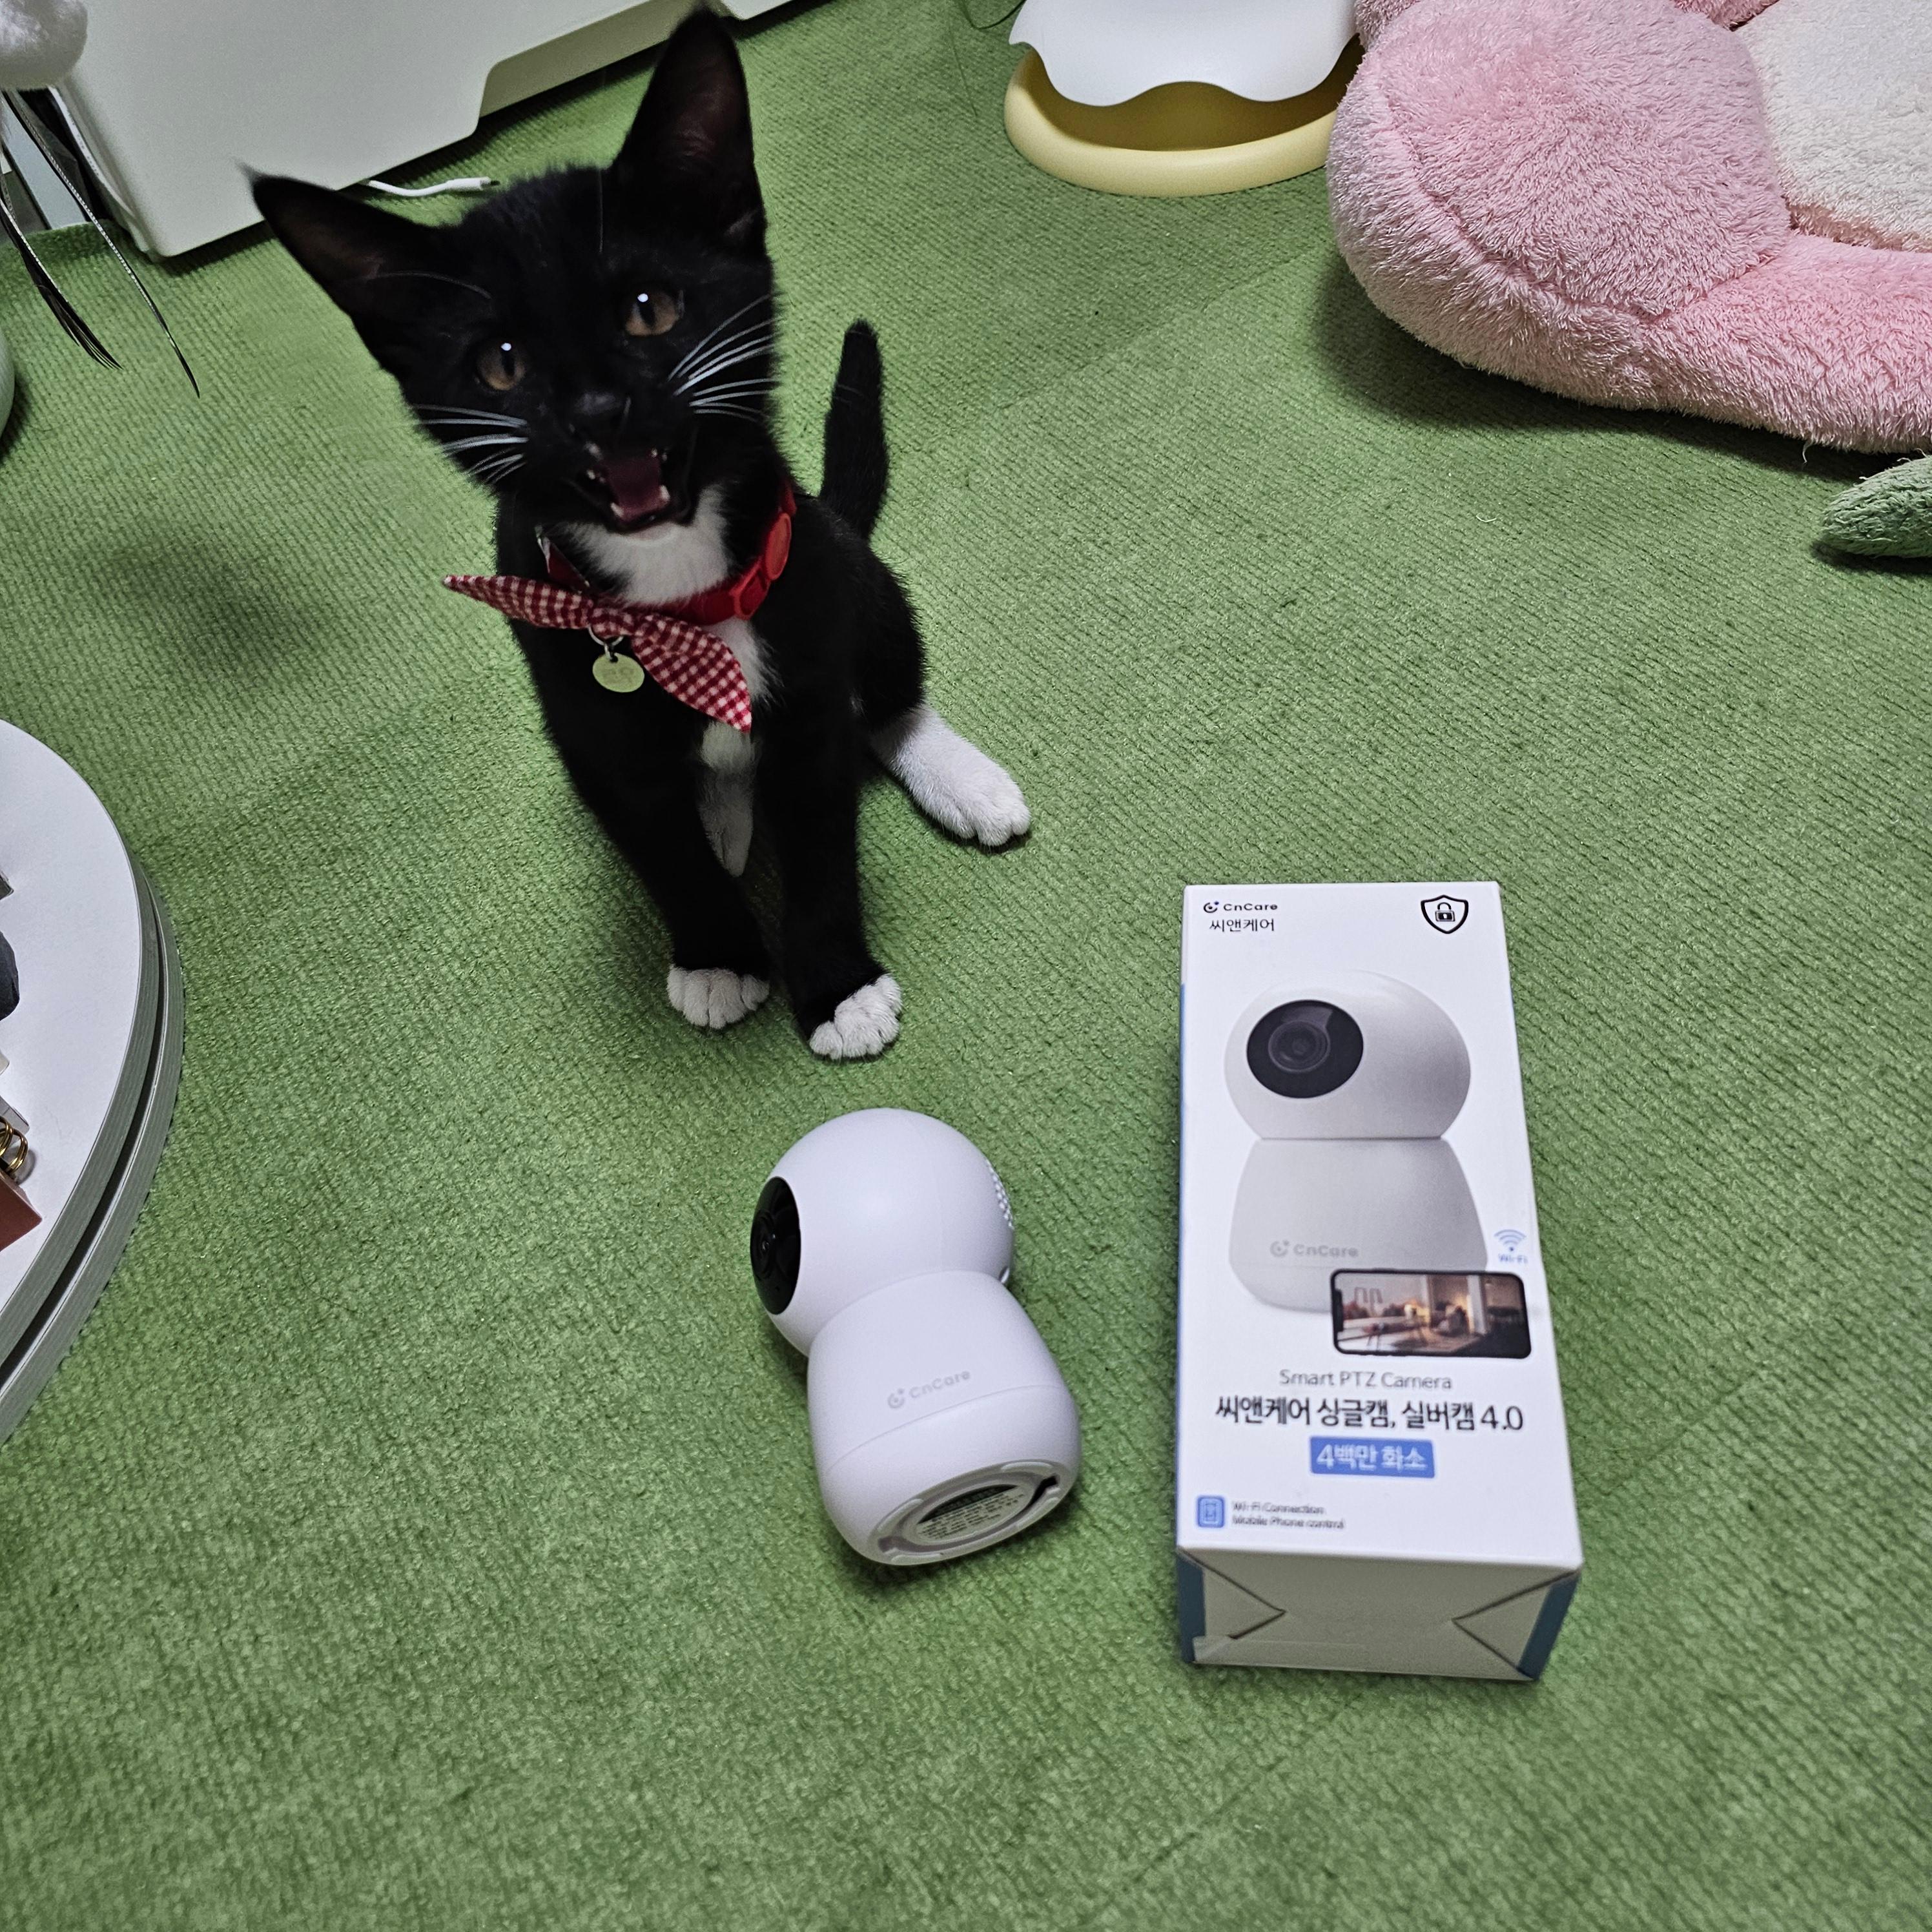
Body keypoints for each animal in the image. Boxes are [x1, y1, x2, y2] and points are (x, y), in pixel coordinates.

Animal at [252, 10, 1026, 1059]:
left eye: (649, 309)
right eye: (501, 366)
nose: (598, 409)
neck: (679, 596)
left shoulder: (808, 672)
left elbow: (823, 839)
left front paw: (837, 986)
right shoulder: (587, 724)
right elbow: (660, 847)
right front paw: (719, 955)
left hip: (844, 565)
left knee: (889, 687)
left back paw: (959, 778)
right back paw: (726, 815)